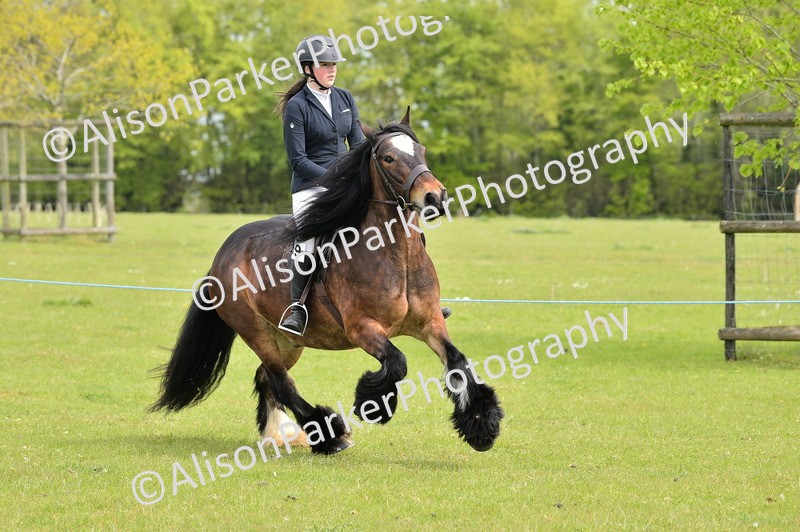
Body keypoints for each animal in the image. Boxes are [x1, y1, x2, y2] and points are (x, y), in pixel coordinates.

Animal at [151, 109, 504, 454]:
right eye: (388, 158)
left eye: (422, 151)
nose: (435, 197)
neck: (397, 257)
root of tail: (222, 255)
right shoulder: (362, 328)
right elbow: (396, 362)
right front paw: (372, 404)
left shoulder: (429, 323)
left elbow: (457, 361)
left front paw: (481, 426)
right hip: (255, 331)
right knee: (281, 382)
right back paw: (329, 436)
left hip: (287, 341)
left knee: (267, 378)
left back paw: (280, 435)